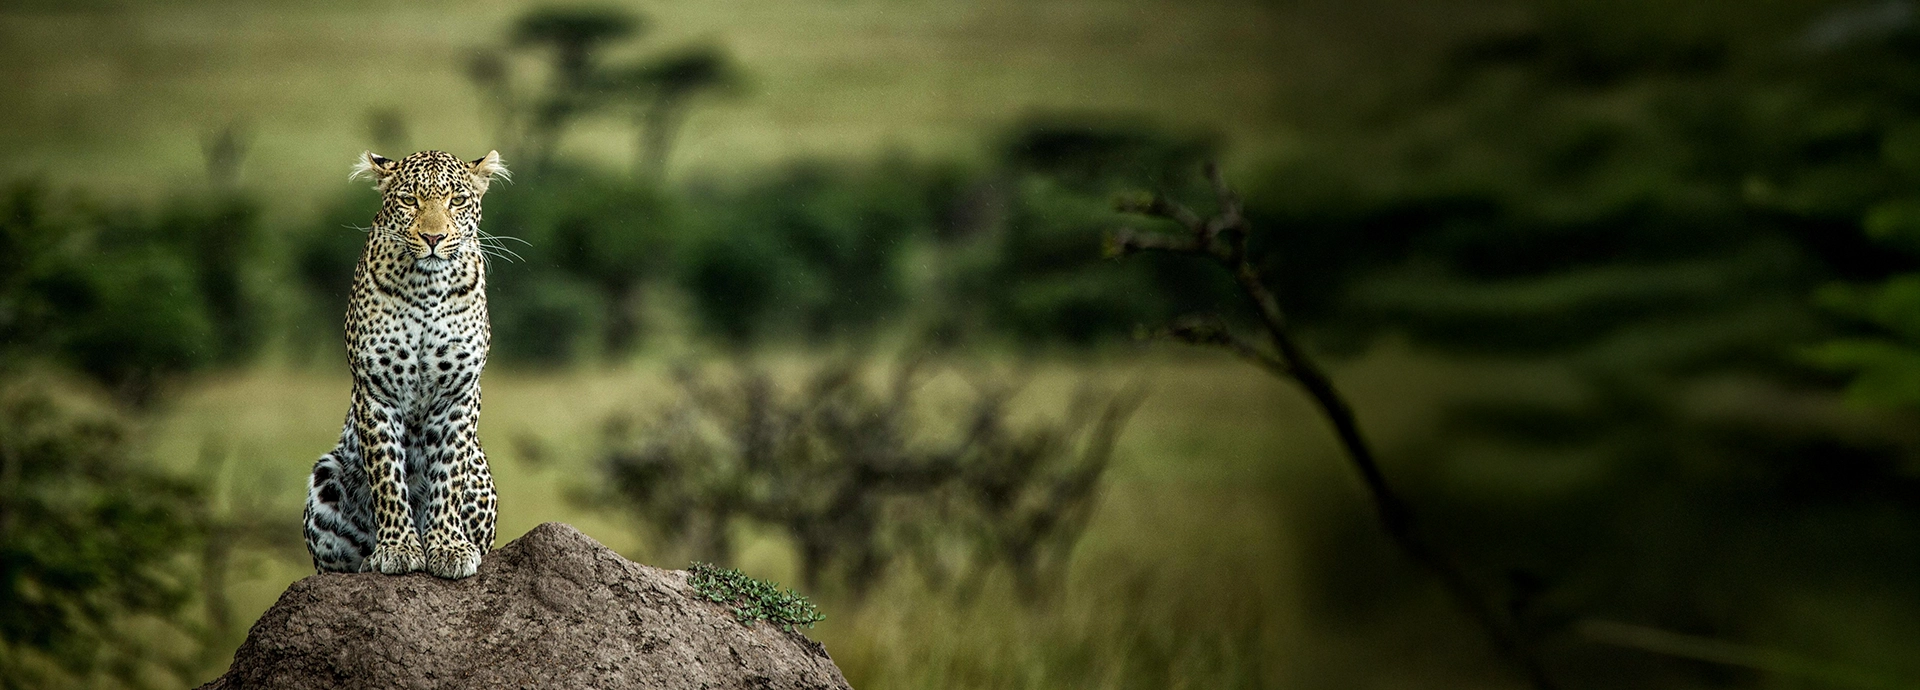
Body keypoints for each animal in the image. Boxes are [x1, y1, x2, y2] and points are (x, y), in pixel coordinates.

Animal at [302, 149, 509, 580]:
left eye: (457, 201)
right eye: (409, 200)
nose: (433, 238)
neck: (427, 288)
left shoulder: (459, 392)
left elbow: (448, 474)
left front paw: (448, 548)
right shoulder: (376, 390)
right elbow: (387, 476)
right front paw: (397, 548)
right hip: (326, 476)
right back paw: (368, 559)